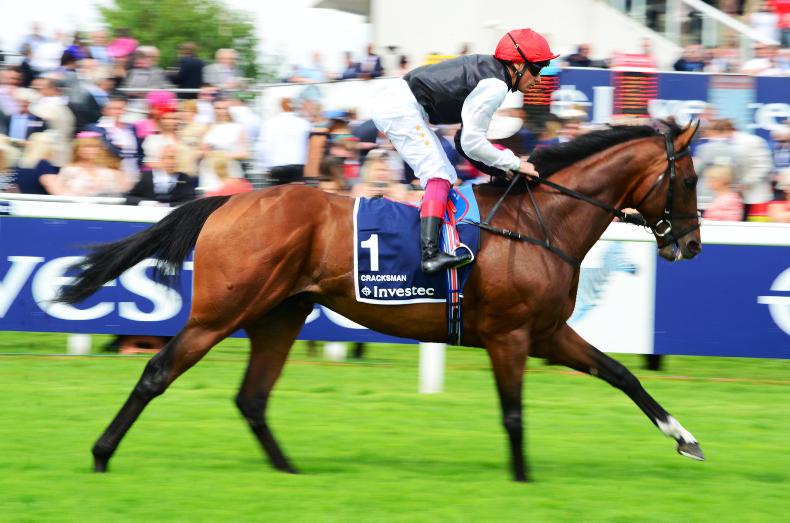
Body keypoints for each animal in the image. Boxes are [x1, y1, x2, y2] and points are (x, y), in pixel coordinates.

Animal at [59, 120, 704, 482]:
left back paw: (288, 469)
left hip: (278, 315)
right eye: (691, 179)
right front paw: (523, 480)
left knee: (252, 397)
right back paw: (100, 454)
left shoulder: (546, 333)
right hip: (222, 312)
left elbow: (622, 374)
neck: (540, 224)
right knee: (158, 371)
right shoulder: (510, 336)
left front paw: (685, 437)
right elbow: (514, 413)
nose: (692, 243)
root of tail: (229, 200)